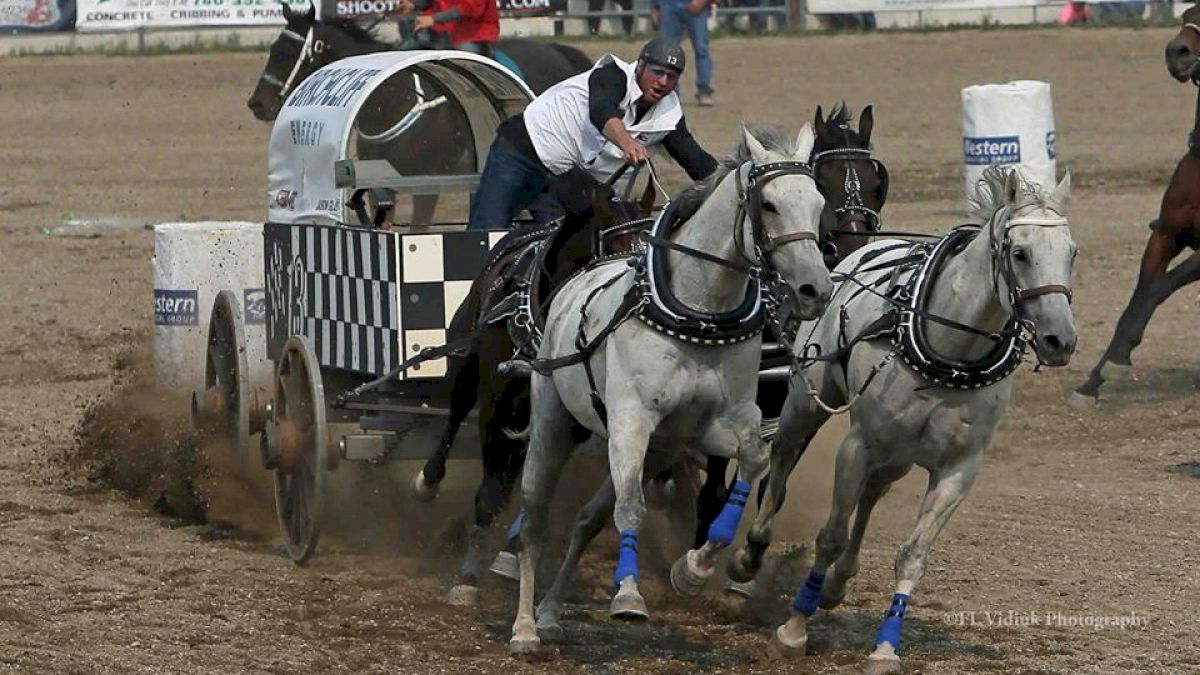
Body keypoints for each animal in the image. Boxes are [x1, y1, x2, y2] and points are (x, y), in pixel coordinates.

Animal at [246, 3, 592, 223]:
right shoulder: (381, 188)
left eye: (289, 52)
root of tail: (561, 51)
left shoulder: (427, 188)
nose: (257, 104)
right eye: (273, 47)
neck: (392, 99)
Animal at [506, 124, 835, 653]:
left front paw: (696, 569)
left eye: (818, 202)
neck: (697, 316)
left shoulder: (717, 424)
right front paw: (628, 597)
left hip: (654, 448)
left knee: (586, 520)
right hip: (555, 423)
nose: (815, 290)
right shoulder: (631, 423)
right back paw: (524, 628)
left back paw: (551, 613)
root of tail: (574, 283)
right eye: (768, 205)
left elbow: (751, 466)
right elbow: (631, 509)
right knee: (535, 521)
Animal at [724, 164, 1084, 672]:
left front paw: (885, 646)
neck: (951, 354)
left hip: (898, 454)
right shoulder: (857, 445)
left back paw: (838, 582)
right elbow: (830, 534)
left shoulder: (958, 470)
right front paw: (794, 628)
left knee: (872, 494)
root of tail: (857, 255)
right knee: (781, 465)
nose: (1060, 340)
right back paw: (749, 557)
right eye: (1021, 253)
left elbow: (913, 555)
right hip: (808, 404)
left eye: (1071, 253)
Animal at [1075, 5, 1200, 401]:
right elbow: (1138, 298)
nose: (1177, 52)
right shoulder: (1164, 236)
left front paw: (1116, 362)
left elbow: (1158, 289)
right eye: (1187, 14)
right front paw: (1093, 381)